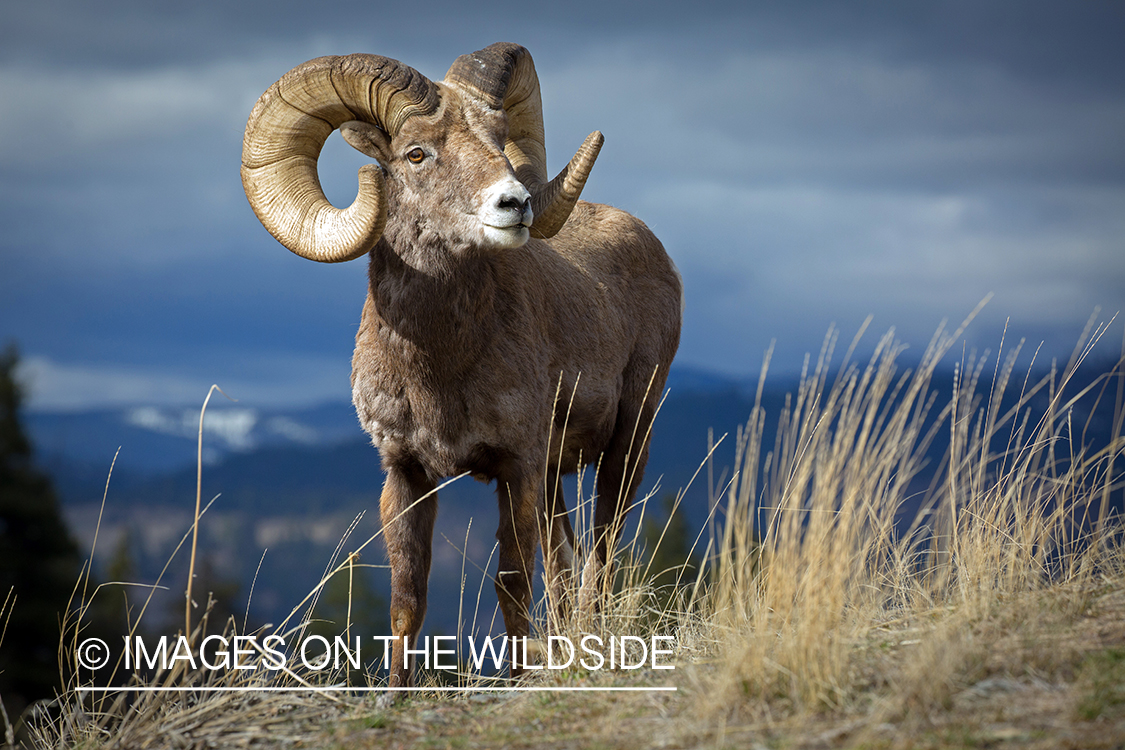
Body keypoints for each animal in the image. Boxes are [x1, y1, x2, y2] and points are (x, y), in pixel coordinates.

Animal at [241, 42, 682, 688]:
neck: (438, 369)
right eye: (416, 153)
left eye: (499, 143)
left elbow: (513, 585)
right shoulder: (406, 472)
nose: (515, 204)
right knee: (569, 563)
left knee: (599, 553)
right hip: (556, 477)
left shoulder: (515, 465)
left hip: (627, 443)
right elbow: (408, 597)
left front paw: (517, 682)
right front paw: (396, 693)